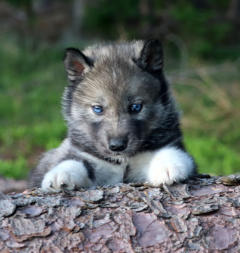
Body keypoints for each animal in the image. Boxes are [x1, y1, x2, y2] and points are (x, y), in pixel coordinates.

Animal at [29, 39, 196, 192]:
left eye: (136, 107)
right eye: (98, 109)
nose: (117, 146)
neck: (122, 161)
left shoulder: (171, 144)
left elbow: (170, 151)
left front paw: (168, 166)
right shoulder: (83, 154)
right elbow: (72, 161)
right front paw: (61, 174)